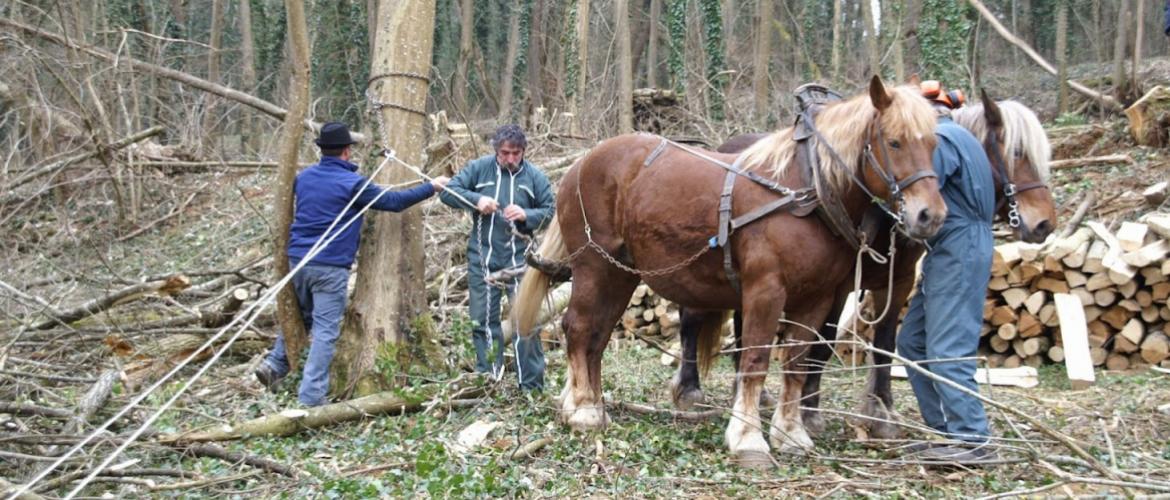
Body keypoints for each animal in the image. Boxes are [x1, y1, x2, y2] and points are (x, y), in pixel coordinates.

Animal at [512, 76, 948, 467]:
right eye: (894, 141)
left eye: (933, 144)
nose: (930, 215)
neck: (804, 192)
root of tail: (581, 163)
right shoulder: (766, 290)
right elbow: (754, 361)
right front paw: (748, 439)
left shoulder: (818, 297)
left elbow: (797, 363)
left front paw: (791, 433)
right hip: (593, 265)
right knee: (578, 328)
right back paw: (584, 411)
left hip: (621, 273)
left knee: (598, 336)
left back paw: (587, 402)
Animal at [670, 89, 1056, 443]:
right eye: (1018, 153)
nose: (1044, 224)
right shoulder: (838, 285)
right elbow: (823, 344)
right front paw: (810, 411)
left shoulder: (897, 280)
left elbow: (885, 342)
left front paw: (880, 411)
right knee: (692, 321)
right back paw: (690, 390)